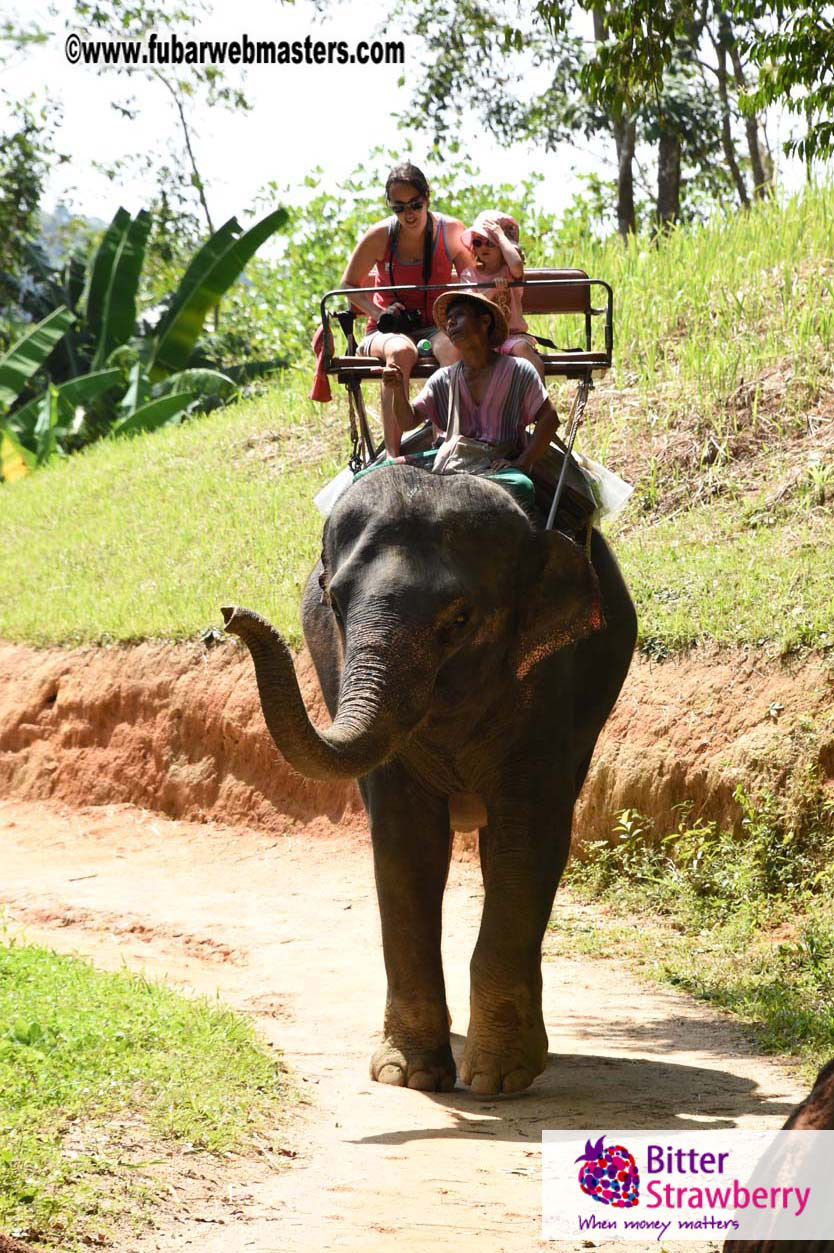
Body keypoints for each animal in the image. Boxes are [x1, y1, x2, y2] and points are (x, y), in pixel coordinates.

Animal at [222, 462, 636, 1096]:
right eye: (334, 603)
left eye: (459, 619)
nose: (228, 617)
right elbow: (404, 844)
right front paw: (408, 1075)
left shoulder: (550, 688)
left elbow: (526, 841)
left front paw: (498, 1079)